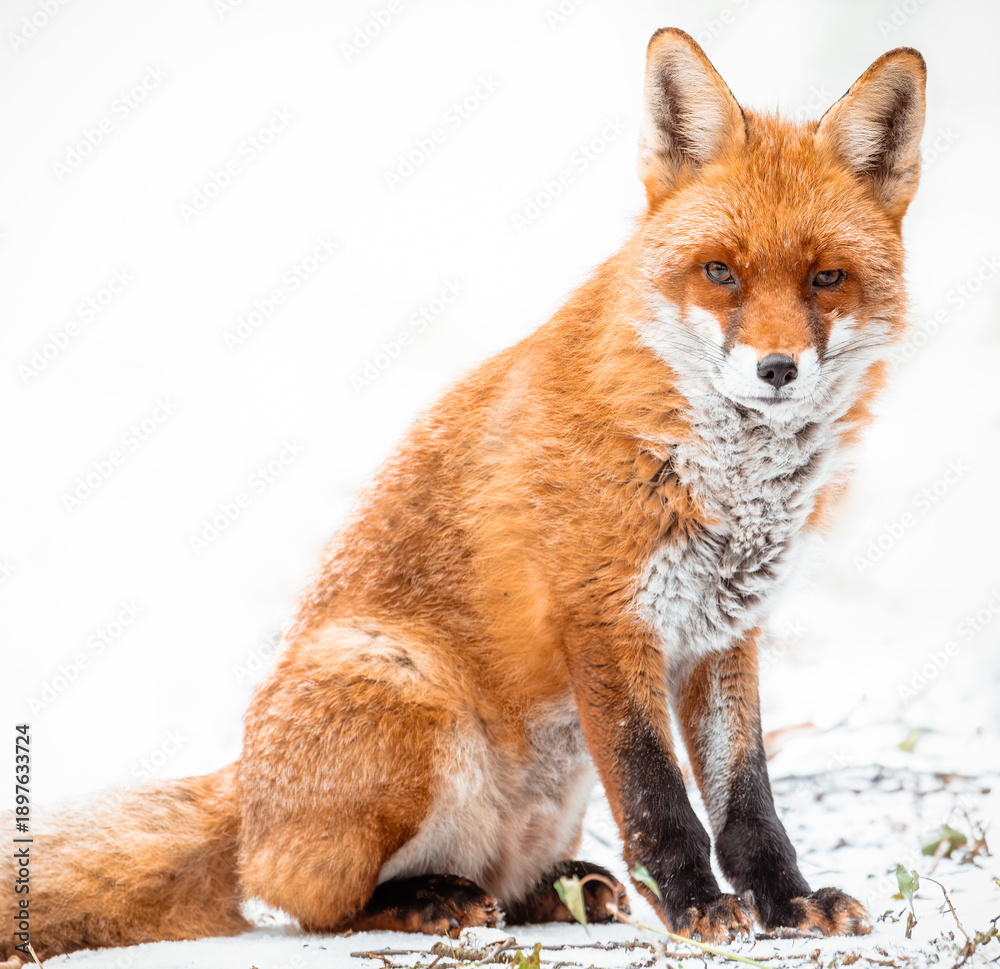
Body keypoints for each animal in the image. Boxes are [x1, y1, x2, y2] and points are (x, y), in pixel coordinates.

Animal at [1, 28, 927, 964]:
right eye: (719, 272)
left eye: (826, 278)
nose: (777, 369)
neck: (722, 474)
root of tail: (246, 792)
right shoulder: (605, 617)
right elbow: (659, 798)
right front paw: (700, 906)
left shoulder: (725, 630)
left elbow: (750, 801)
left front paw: (790, 901)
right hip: (409, 691)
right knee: (309, 899)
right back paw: (424, 900)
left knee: (504, 880)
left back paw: (561, 888)